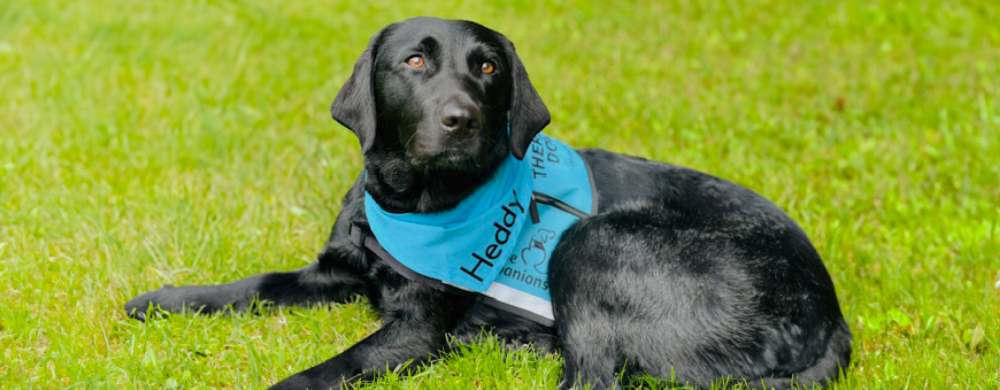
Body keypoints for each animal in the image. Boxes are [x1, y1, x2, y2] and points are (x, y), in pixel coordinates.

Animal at [125, 16, 852, 388]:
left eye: (488, 67)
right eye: (415, 62)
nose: (461, 119)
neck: (411, 206)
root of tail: (832, 314)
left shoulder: (417, 329)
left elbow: (319, 373)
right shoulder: (333, 270)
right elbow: (251, 284)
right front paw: (166, 299)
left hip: (592, 242)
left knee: (594, 376)